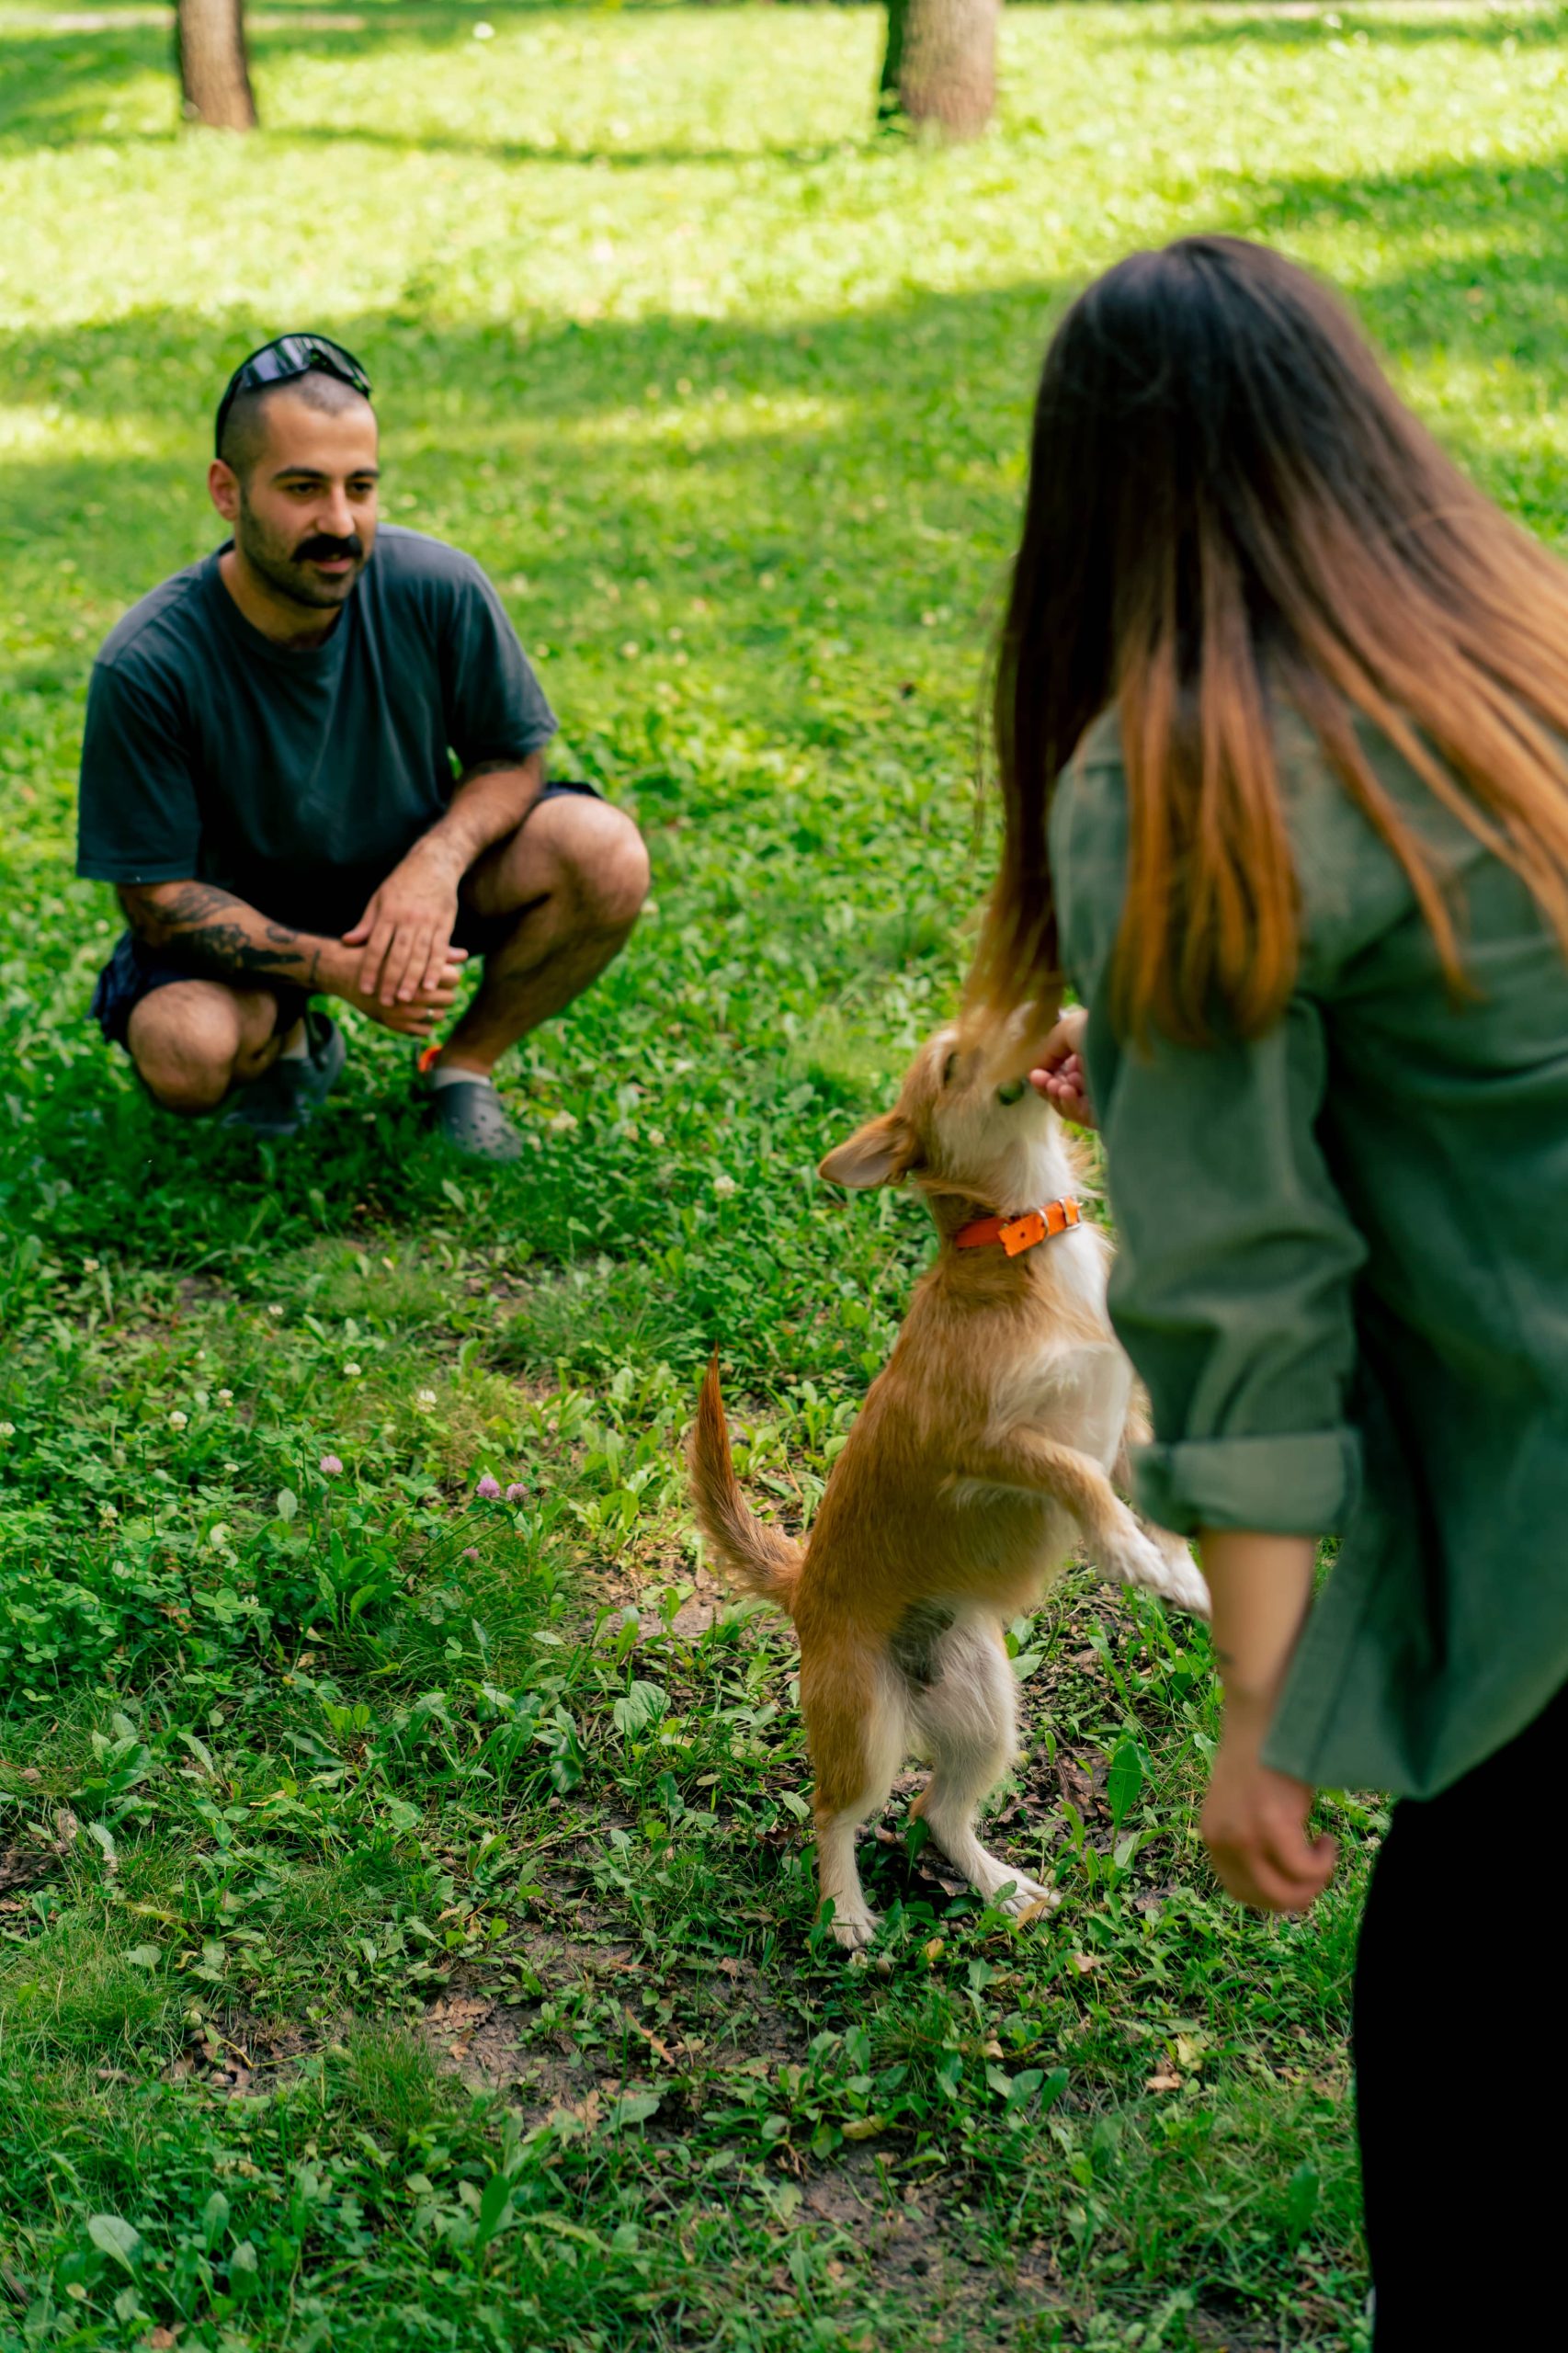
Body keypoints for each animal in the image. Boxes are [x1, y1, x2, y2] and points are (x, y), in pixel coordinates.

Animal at [687, 1016, 1205, 1948]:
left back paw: (998, 1885)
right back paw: (847, 1913)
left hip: (985, 1715)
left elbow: (1146, 1489)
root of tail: (801, 1585)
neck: (1027, 1237)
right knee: (835, 1813)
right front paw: (1125, 1553)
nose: (1046, 1016)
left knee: (935, 1808)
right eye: (957, 1061)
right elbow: (1078, 1478)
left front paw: (1178, 1570)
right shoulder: (988, 1447)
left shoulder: (1123, 1428)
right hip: (865, 1730)